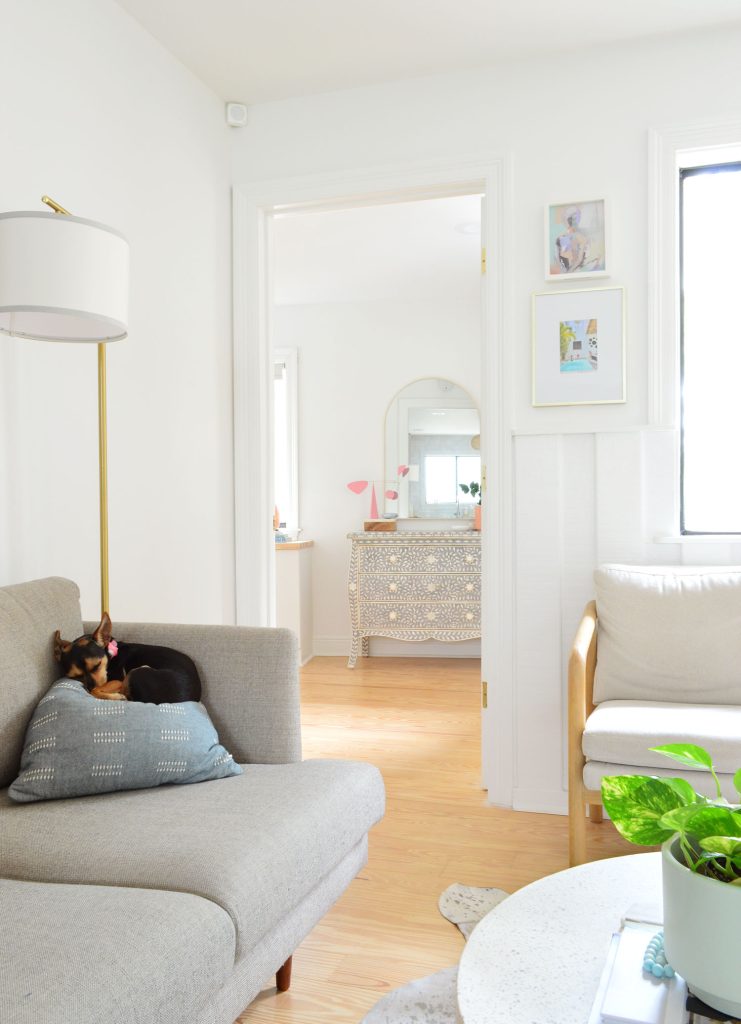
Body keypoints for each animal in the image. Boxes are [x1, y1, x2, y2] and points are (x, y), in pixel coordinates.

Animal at [53, 610, 201, 700]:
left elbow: (97, 691)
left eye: (97, 666)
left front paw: (111, 694)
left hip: (136, 672)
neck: (110, 656)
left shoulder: (118, 679)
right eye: (76, 677)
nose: (89, 688)